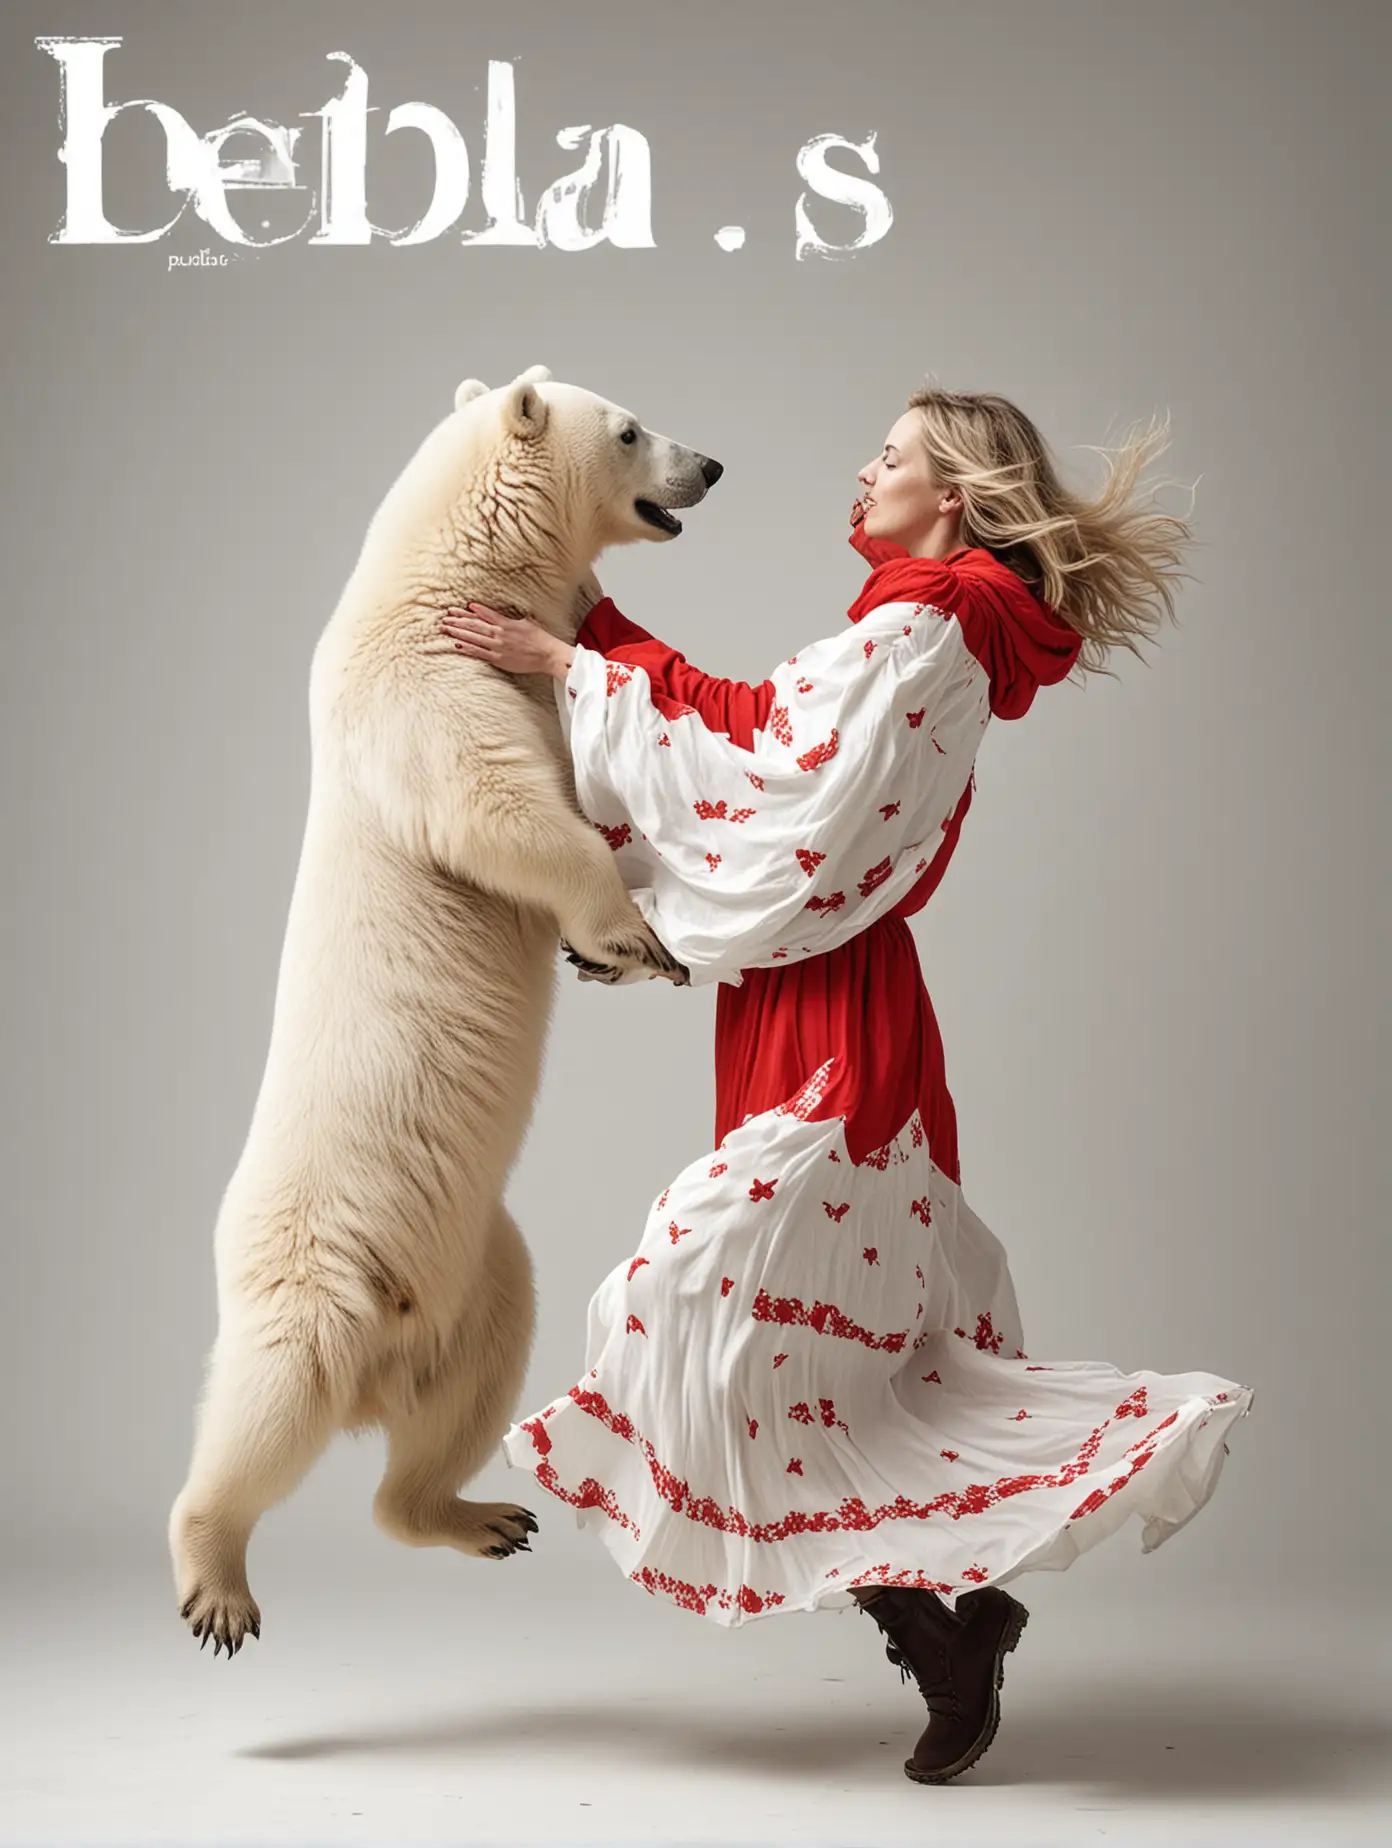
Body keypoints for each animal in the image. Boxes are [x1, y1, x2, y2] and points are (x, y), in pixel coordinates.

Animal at [168, 364, 720, 1663]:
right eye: (631, 429)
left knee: (467, 1391)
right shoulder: (425, 688)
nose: (710, 467)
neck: (442, 577)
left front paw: (631, 955)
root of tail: (386, 1362)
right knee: (271, 1402)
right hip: (321, 1265)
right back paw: (216, 1577)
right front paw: (627, 931)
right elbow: (503, 812)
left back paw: (477, 1514)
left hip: (480, 1269)